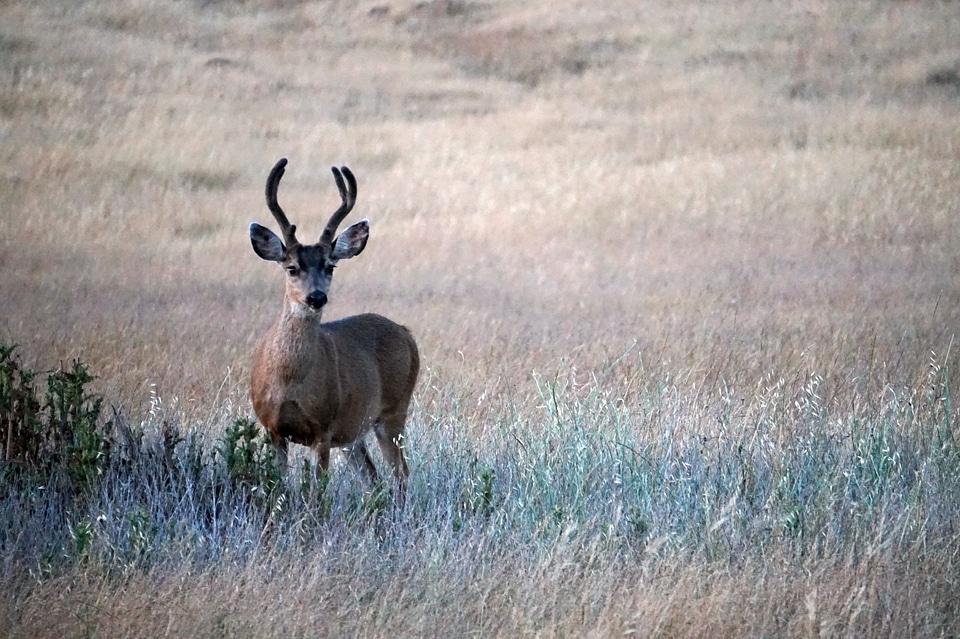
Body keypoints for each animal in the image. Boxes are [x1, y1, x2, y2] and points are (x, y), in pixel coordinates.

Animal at [246, 158, 418, 502]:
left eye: (330, 266)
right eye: (292, 268)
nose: (316, 297)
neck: (289, 381)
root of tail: (407, 334)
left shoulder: (322, 427)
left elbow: (316, 491)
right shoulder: (273, 428)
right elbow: (277, 485)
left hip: (393, 411)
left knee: (401, 476)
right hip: (353, 432)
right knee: (373, 477)